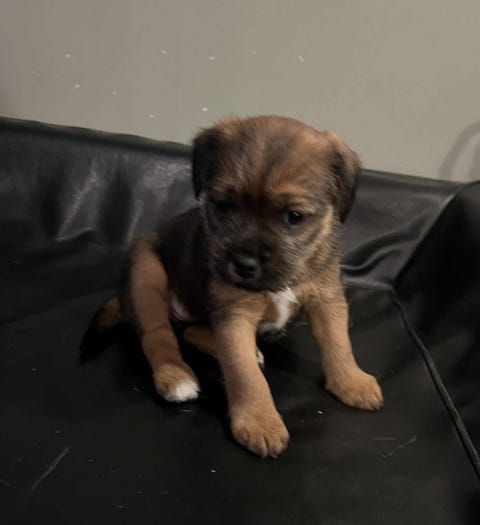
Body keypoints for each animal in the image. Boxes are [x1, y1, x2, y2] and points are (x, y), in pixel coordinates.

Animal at [93, 115, 383, 458]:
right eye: (224, 206)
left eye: (294, 217)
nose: (243, 265)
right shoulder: (235, 315)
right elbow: (245, 375)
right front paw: (258, 422)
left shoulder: (327, 299)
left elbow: (339, 343)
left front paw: (351, 381)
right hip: (145, 273)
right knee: (158, 335)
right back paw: (176, 377)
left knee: (192, 331)